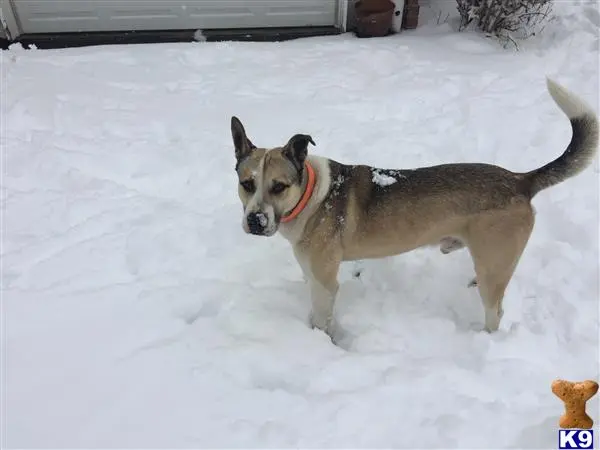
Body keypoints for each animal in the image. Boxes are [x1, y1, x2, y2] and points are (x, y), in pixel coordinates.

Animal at [229, 79, 596, 342]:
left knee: (496, 313)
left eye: (279, 186)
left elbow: (322, 319)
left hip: (494, 267)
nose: (255, 221)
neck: (312, 194)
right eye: (247, 183)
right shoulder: (311, 273)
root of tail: (520, 180)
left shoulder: (325, 282)